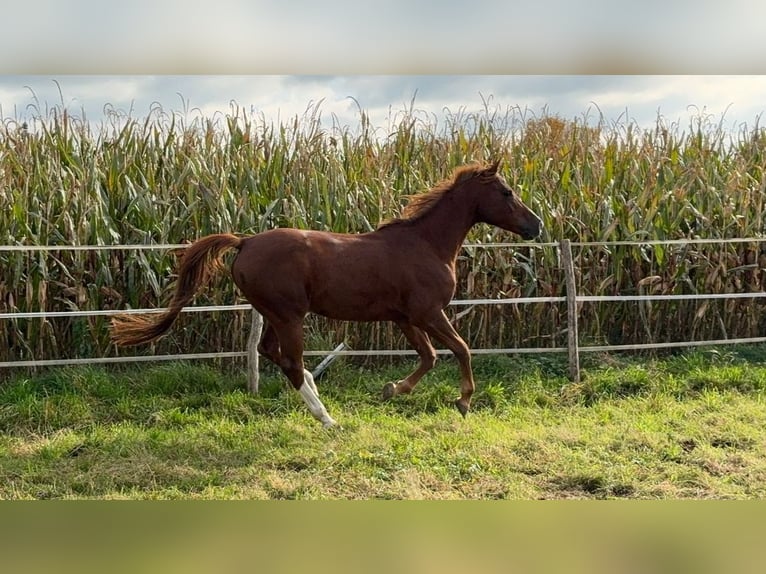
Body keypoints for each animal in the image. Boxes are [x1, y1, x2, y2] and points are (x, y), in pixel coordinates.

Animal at [110, 161, 543, 428]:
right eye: (506, 192)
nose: (536, 226)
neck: (426, 245)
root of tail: (245, 241)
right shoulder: (429, 312)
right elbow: (460, 349)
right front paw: (464, 401)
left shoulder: (404, 317)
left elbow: (429, 356)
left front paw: (393, 390)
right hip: (289, 315)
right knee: (290, 362)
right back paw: (328, 418)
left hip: (273, 313)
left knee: (273, 353)